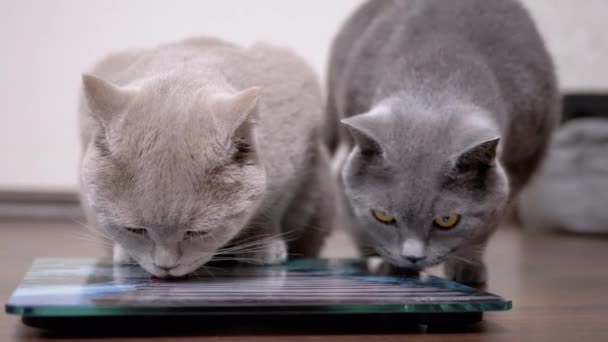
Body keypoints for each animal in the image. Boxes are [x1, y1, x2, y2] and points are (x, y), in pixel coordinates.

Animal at [79, 37, 332, 278]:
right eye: (134, 230)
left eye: (198, 232)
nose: (165, 266)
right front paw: (125, 252)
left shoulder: (291, 173)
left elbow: (269, 212)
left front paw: (262, 246)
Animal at [328, 0, 560, 284]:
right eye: (382, 216)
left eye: (447, 220)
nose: (412, 257)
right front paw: (390, 266)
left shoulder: (524, 159)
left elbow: (485, 225)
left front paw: (468, 271)